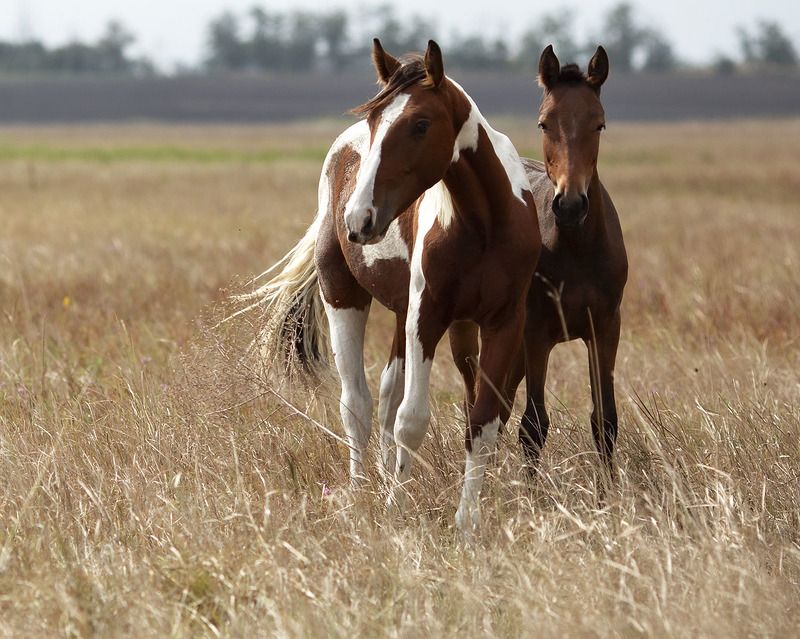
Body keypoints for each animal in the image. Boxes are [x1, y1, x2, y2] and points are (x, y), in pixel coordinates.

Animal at [248, 39, 540, 535]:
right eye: (374, 123)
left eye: (420, 124)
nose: (358, 217)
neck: (485, 223)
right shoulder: (428, 316)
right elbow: (411, 419)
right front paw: (395, 507)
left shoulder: (504, 322)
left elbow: (483, 420)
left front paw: (468, 521)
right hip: (344, 298)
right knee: (357, 406)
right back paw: (363, 490)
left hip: (409, 314)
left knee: (384, 397)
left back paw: (385, 478)